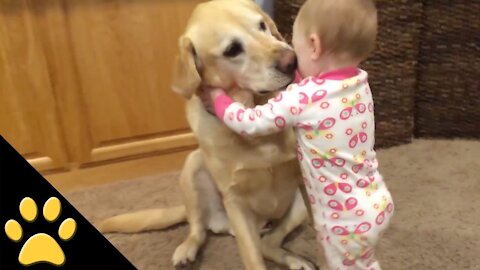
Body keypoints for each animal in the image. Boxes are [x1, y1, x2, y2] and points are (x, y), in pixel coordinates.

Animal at [97, 1, 316, 268]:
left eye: (262, 25)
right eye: (232, 49)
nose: (291, 60)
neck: (253, 117)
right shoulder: (235, 201)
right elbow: (252, 258)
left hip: (296, 209)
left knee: (267, 243)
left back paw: (295, 260)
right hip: (193, 166)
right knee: (199, 228)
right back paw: (187, 249)